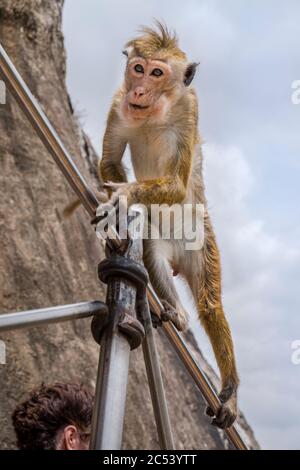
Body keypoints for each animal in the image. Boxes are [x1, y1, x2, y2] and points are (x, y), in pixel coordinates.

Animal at [97, 23, 240, 430]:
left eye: (157, 73)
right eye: (138, 69)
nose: (139, 90)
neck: (154, 113)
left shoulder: (190, 109)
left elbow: (176, 184)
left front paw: (126, 193)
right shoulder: (118, 103)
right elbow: (109, 161)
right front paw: (121, 203)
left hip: (200, 242)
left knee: (210, 304)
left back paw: (230, 390)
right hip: (162, 243)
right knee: (155, 259)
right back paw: (175, 311)